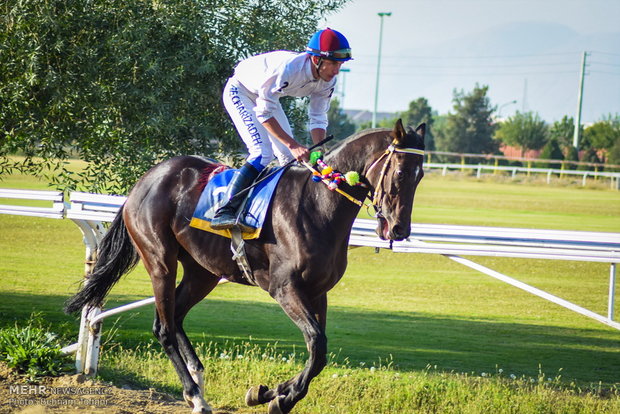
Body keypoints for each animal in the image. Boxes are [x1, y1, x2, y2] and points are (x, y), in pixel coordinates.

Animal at [66, 118, 426, 412]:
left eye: (421, 174)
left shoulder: (318, 291)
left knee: (174, 317)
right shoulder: (284, 288)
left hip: (203, 272)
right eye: (400, 171)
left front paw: (272, 392)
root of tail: (144, 181)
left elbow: (319, 351)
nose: (399, 229)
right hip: (160, 261)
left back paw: (197, 379)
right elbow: (316, 342)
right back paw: (195, 396)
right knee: (164, 327)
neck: (319, 205)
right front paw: (281, 397)